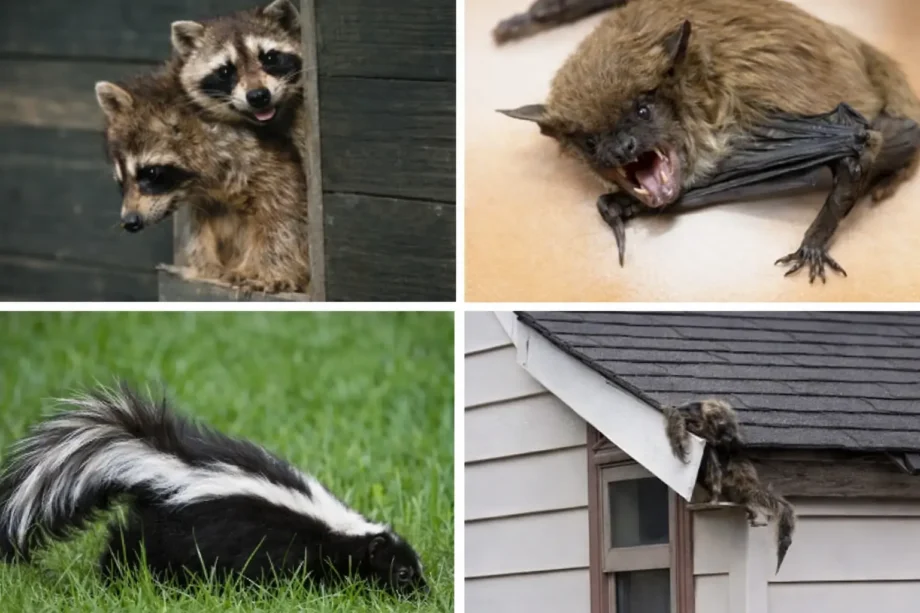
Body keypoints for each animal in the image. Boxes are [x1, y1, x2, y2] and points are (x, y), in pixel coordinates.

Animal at [95, 64, 310, 293]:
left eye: (151, 173)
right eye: (121, 181)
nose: (130, 221)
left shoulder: (266, 160)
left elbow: (284, 212)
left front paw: (268, 271)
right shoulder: (208, 197)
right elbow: (202, 224)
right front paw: (205, 268)